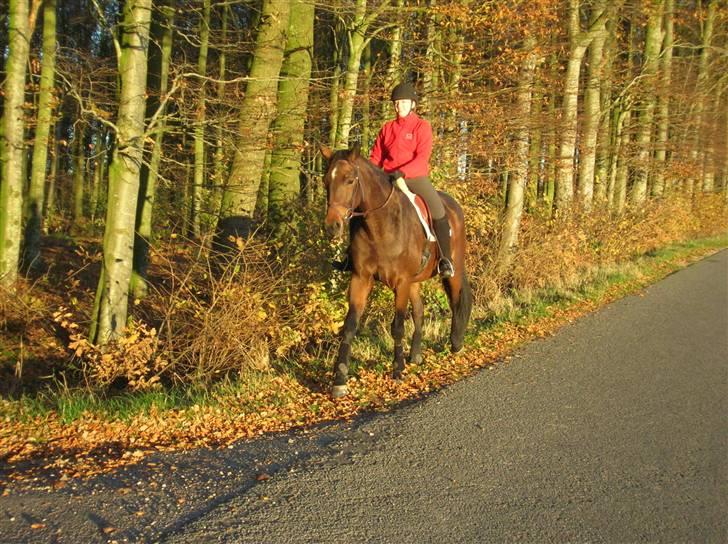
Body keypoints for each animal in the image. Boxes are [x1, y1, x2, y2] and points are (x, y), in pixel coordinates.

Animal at [320, 147, 472, 398]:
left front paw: (397, 370)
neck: (379, 226)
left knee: (458, 300)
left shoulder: (401, 282)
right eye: (325, 181)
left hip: (454, 270)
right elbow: (350, 326)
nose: (332, 226)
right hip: (415, 281)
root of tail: (453, 205)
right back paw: (416, 355)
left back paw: (456, 343)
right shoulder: (361, 279)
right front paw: (340, 380)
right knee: (419, 311)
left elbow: (398, 326)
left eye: (350, 180)